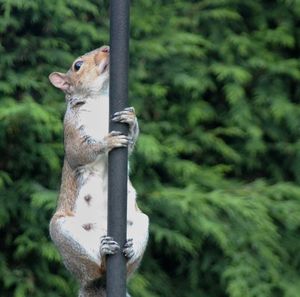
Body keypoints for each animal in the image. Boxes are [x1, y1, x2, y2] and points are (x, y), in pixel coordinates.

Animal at [47, 44, 149, 296]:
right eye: (77, 65)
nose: (106, 48)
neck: (98, 99)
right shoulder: (71, 129)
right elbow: (79, 152)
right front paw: (107, 142)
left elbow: (131, 143)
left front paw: (131, 118)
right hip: (65, 236)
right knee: (93, 269)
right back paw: (102, 254)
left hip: (142, 222)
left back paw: (130, 251)